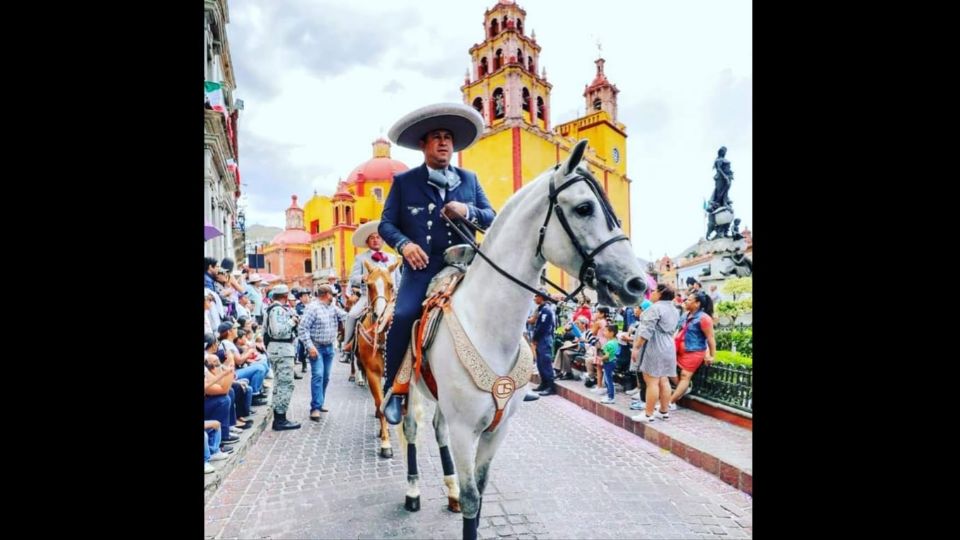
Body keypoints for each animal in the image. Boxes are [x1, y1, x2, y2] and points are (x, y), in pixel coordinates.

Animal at [398, 140, 644, 540]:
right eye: (584, 208)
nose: (638, 283)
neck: (490, 328)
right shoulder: (466, 430)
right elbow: (473, 499)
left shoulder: (497, 429)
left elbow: (480, 491)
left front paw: (460, 493)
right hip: (410, 388)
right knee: (411, 427)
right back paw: (413, 490)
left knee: (437, 430)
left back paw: (448, 489)